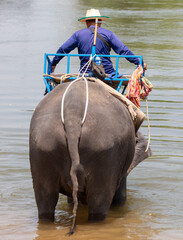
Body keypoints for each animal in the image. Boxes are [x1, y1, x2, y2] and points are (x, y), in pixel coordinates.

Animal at [29, 79, 152, 233]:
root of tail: (73, 113)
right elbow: (120, 197)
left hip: (43, 145)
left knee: (44, 198)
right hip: (105, 152)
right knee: (99, 202)